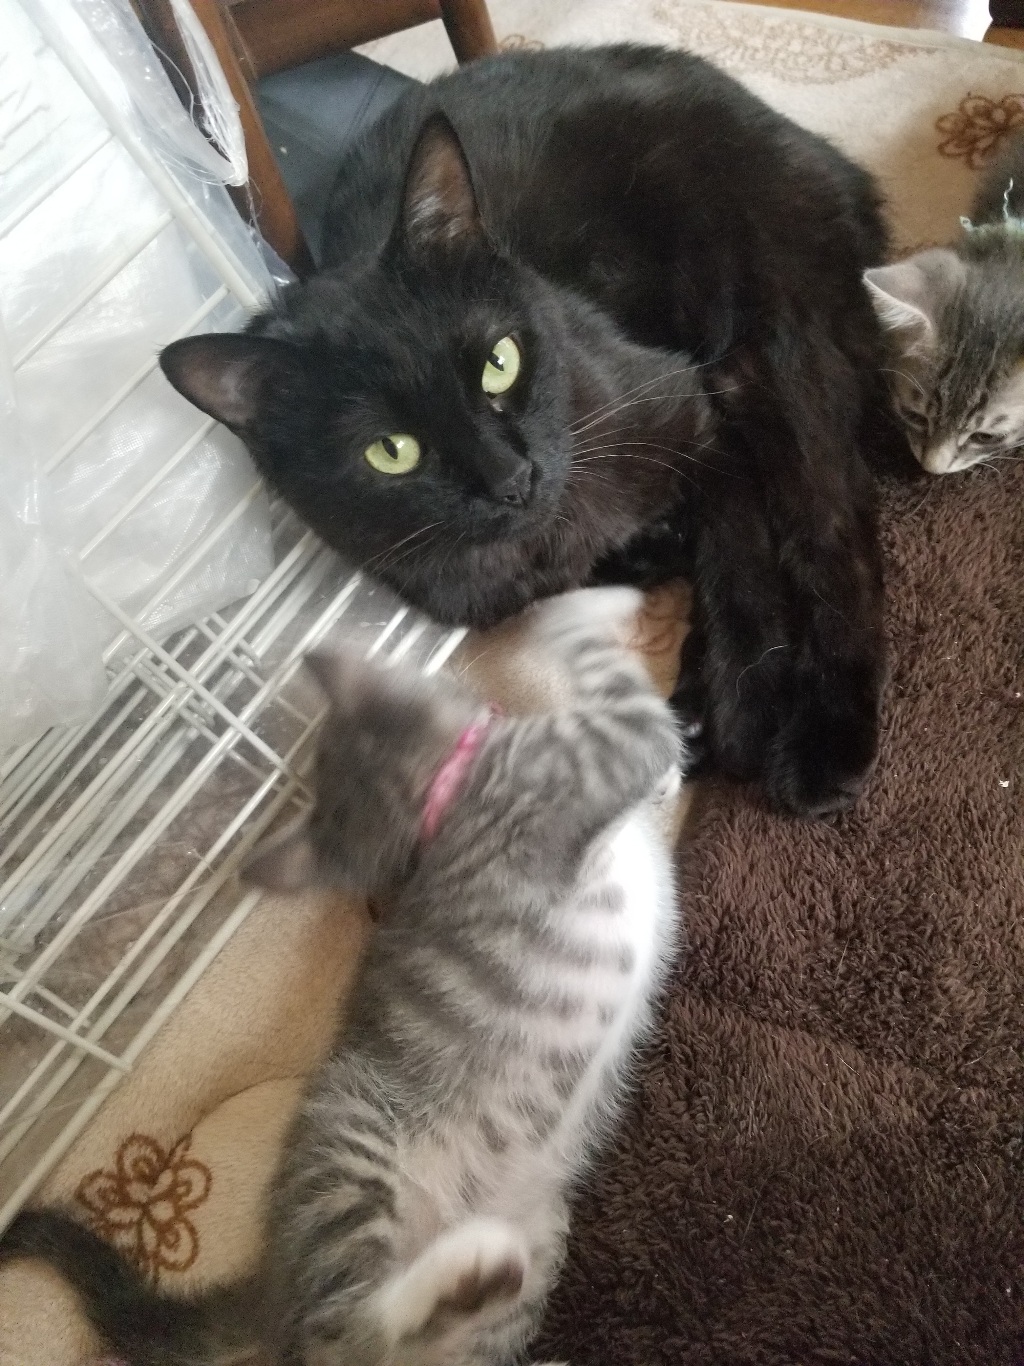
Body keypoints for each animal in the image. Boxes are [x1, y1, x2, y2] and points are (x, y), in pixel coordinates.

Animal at [1, 586, 682, 1366]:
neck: (443, 799)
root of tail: (275, 1289)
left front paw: (664, 783)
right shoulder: (596, 755)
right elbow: (631, 697)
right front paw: (584, 609)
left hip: (534, 1250)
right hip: (348, 1149)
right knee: (345, 1337)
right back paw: (453, 1278)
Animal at [158, 44, 891, 817]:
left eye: (499, 362)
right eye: (391, 452)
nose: (512, 478)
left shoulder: (696, 416)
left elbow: (738, 567)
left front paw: (747, 704)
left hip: (763, 348)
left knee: (833, 530)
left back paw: (819, 742)